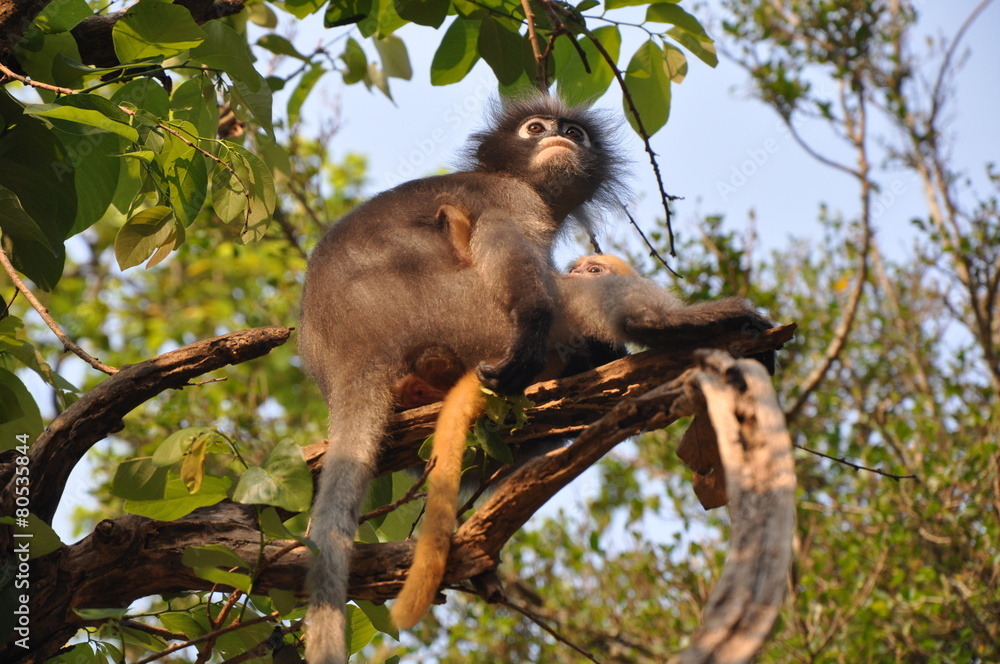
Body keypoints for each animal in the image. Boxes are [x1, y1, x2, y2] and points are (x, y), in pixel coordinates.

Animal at [299, 96, 628, 664]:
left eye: (575, 133)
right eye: (535, 128)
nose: (558, 137)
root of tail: (353, 352)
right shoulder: (512, 198)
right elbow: (502, 238)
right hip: (458, 310)